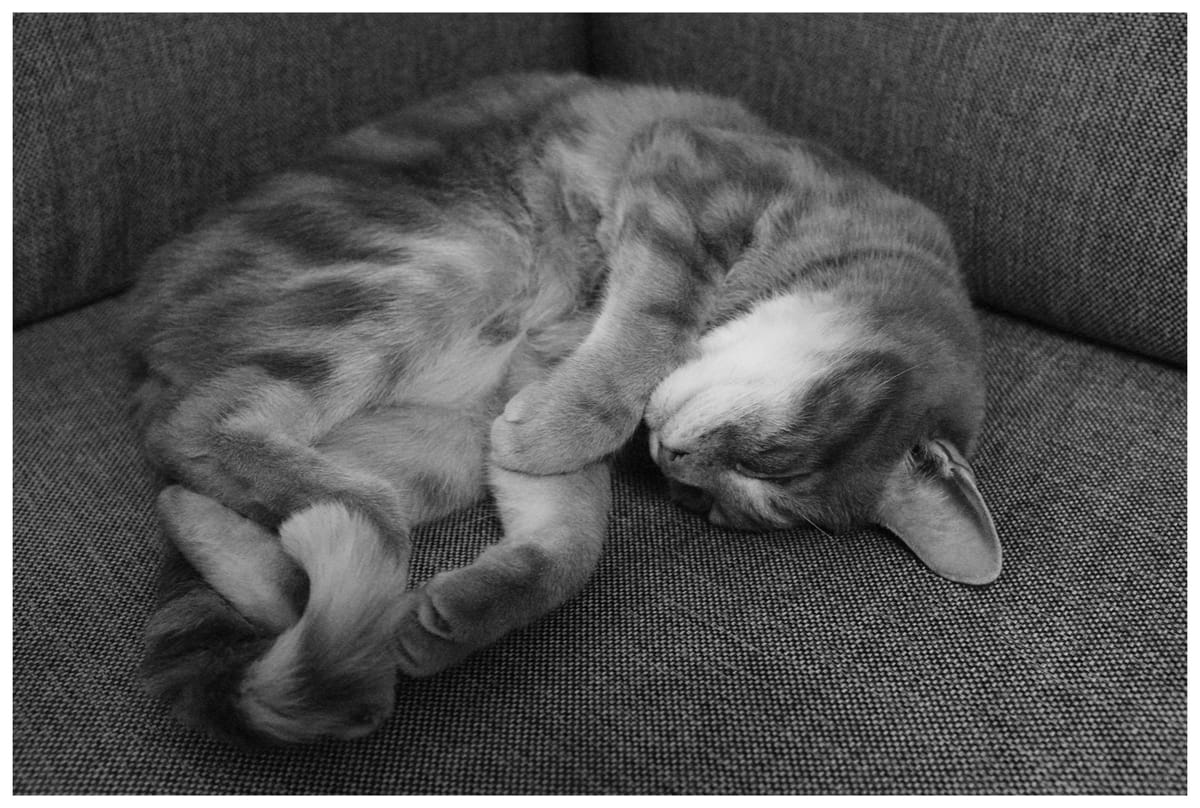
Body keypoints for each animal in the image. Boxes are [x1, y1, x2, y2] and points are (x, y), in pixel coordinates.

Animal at [126, 72, 998, 749]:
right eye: (769, 457)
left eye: (708, 509)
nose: (676, 464)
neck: (855, 234)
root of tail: (147, 337)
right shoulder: (687, 189)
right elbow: (645, 335)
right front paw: (573, 419)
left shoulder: (523, 394)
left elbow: (567, 547)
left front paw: (457, 617)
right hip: (447, 267)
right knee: (198, 428)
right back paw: (363, 517)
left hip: (440, 438)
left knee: (199, 505)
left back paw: (312, 596)